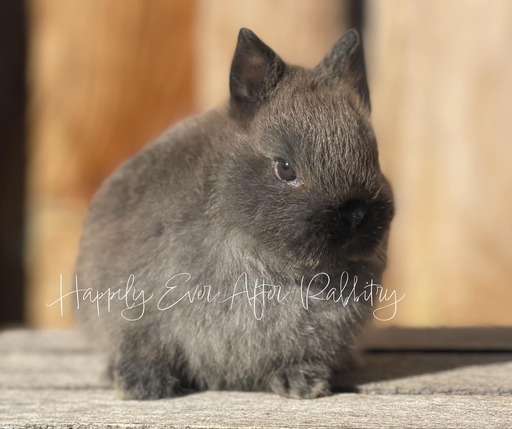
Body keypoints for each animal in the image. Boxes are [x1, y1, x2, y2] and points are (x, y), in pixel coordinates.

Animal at [75, 28, 396, 400]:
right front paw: (143, 385)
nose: (356, 215)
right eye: (285, 168)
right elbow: (144, 346)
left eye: (373, 157)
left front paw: (303, 383)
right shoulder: (134, 312)